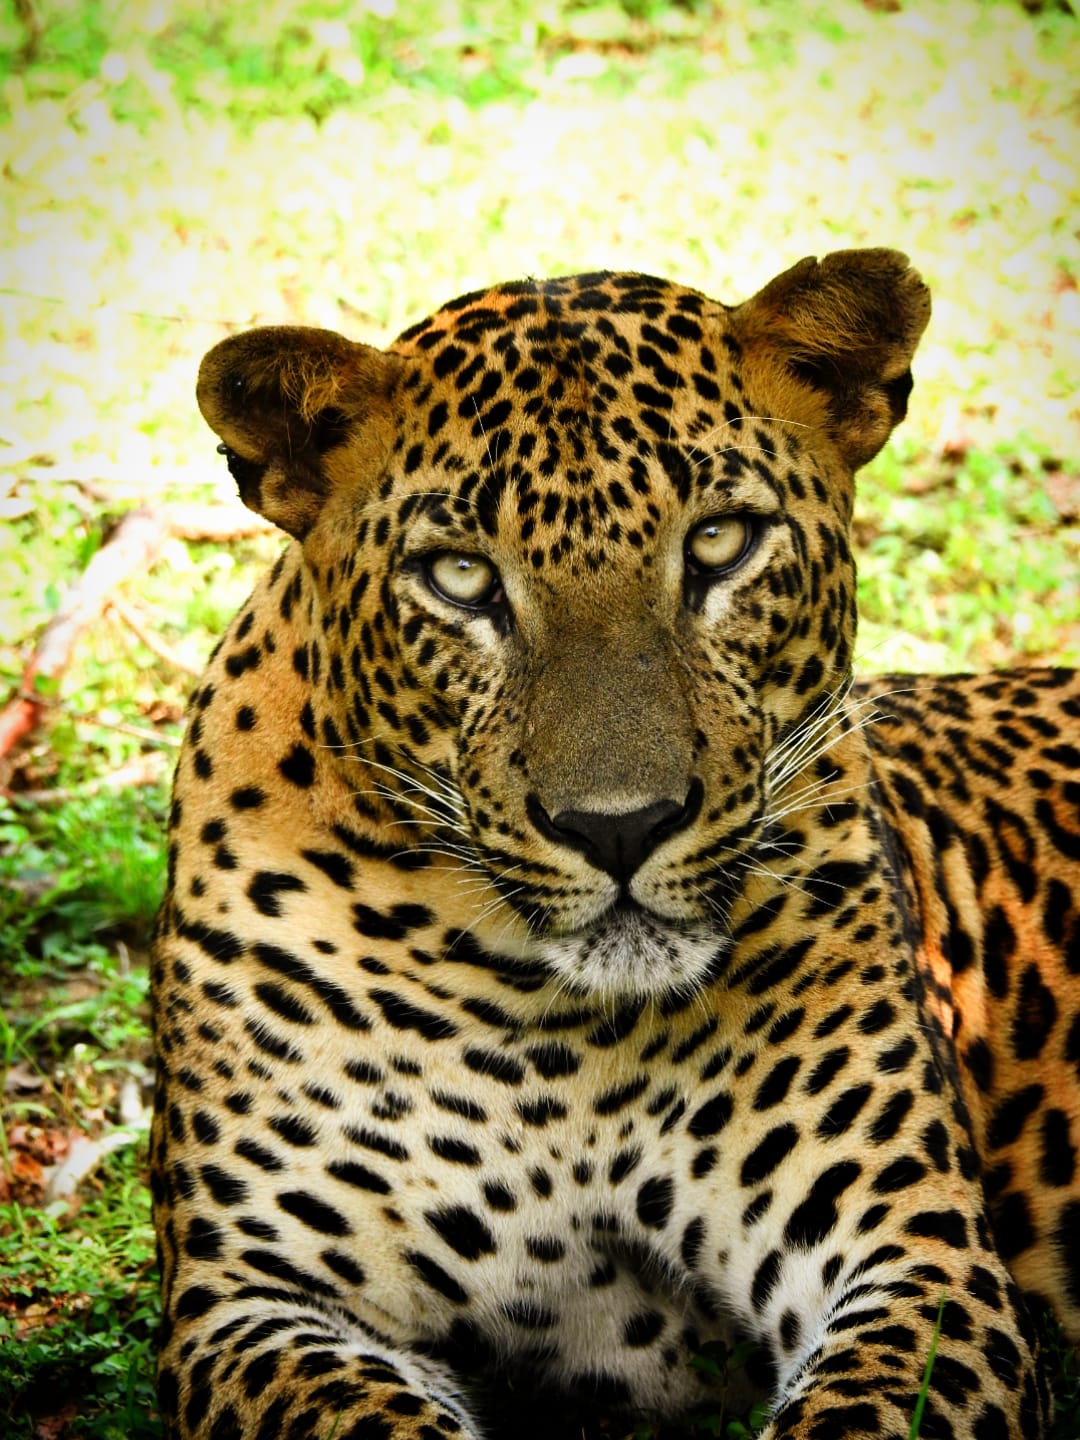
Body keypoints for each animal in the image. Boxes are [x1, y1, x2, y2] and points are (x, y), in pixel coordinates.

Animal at [151, 248, 1080, 1440]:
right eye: (459, 576)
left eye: (721, 543)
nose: (619, 825)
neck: (555, 1034)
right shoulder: (254, 1296)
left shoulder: (914, 1249)